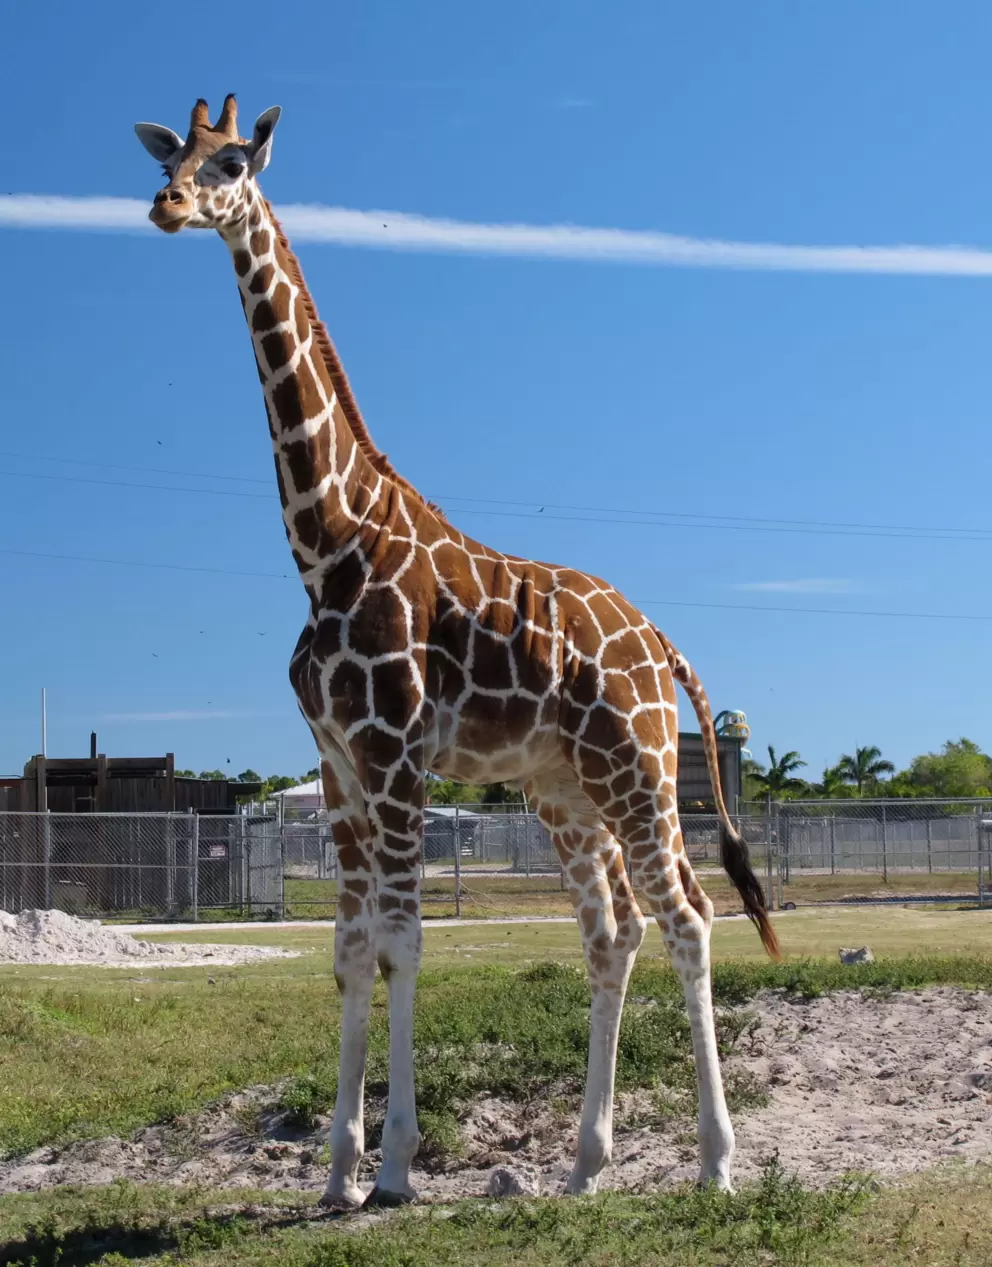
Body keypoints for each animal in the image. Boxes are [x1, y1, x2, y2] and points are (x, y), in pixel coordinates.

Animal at [135, 96, 780, 1208]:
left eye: (232, 164)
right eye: (171, 156)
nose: (167, 205)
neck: (327, 539)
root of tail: (663, 642)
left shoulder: (394, 756)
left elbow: (404, 942)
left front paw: (392, 1168)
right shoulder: (337, 767)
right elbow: (350, 949)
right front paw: (336, 1172)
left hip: (639, 768)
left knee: (690, 915)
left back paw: (715, 1161)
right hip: (563, 789)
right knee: (611, 930)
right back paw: (582, 1165)